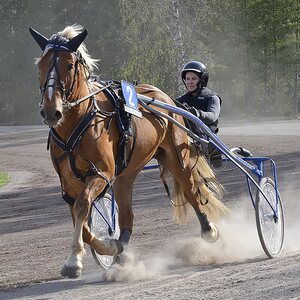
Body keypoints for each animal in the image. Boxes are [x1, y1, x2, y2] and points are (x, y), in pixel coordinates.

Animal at [29, 24, 229, 278]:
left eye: (69, 65)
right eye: (41, 65)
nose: (50, 110)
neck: (80, 121)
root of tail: (164, 97)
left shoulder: (102, 172)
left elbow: (83, 205)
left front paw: (74, 260)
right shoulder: (69, 183)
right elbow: (81, 221)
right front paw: (106, 246)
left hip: (176, 157)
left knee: (192, 191)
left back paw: (209, 229)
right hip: (127, 171)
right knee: (127, 216)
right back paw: (120, 247)